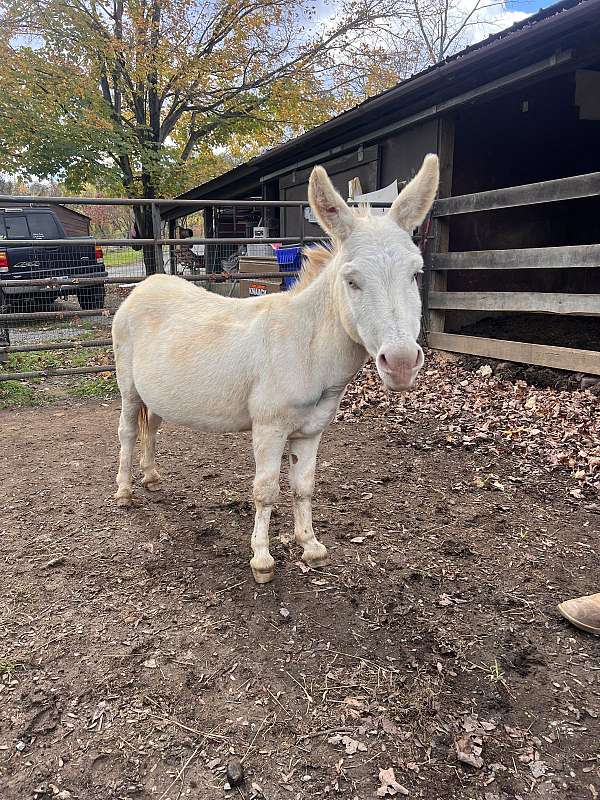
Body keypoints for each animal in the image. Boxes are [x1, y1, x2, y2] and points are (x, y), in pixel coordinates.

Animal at [112, 155, 439, 583]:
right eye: (352, 281)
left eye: (416, 274)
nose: (400, 364)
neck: (306, 346)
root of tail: (144, 285)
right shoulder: (268, 429)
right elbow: (265, 490)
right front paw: (262, 559)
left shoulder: (311, 431)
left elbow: (304, 487)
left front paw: (310, 546)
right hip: (129, 388)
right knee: (129, 432)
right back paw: (124, 491)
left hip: (159, 393)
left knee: (152, 427)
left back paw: (150, 477)